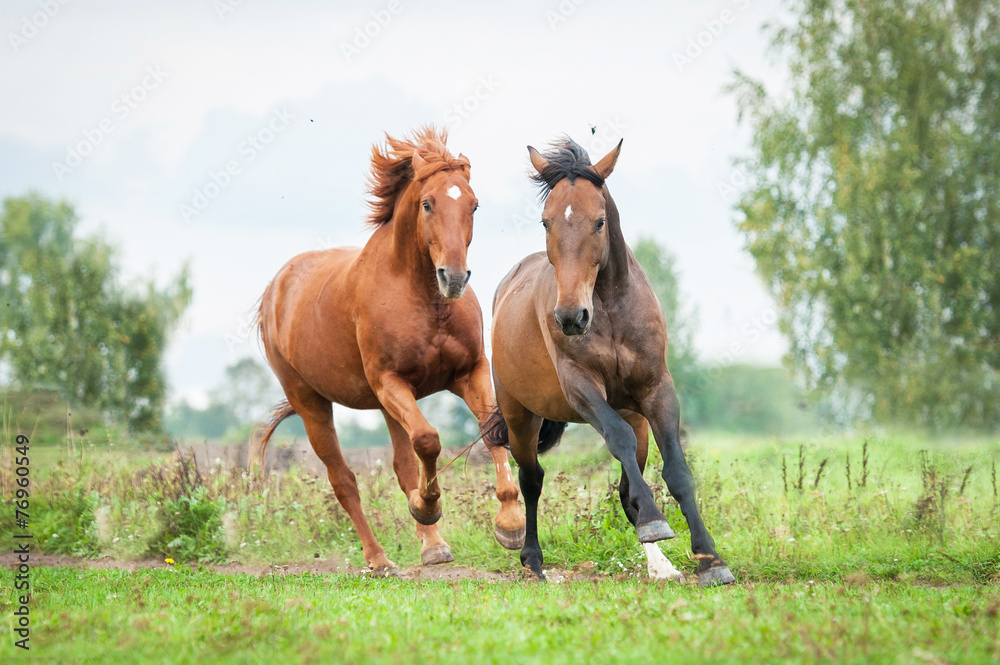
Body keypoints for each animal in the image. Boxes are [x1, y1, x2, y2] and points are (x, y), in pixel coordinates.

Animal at [256, 127, 524, 572]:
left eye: (473, 204)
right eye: (428, 203)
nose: (454, 277)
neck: (425, 298)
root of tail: (276, 288)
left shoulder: (468, 371)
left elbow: (490, 432)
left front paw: (510, 523)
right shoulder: (389, 382)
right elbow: (429, 441)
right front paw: (426, 507)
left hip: (386, 405)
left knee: (402, 464)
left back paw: (433, 545)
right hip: (312, 402)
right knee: (344, 480)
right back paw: (379, 558)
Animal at [484, 137, 736, 584]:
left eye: (599, 222)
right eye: (546, 222)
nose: (570, 317)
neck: (612, 310)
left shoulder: (656, 389)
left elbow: (677, 471)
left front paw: (710, 560)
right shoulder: (582, 388)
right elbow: (616, 439)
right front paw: (657, 522)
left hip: (635, 418)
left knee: (624, 487)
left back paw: (660, 564)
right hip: (520, 415)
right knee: (532, 480)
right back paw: (532, 559)